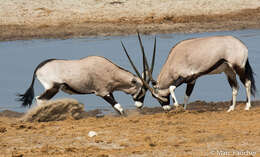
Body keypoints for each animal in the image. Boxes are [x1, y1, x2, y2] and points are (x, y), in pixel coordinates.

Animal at [17, 53, 155, 114]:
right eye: (142, 90)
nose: (140, 106)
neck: (110, 71)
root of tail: (39, 67)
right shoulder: (102, 92)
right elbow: (119, 107)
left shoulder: (109, 91)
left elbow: (116, 107)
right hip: (53, 88)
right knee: (40, 99)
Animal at [123, 35, 256, 112]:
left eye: (155, 97)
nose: (166, 109)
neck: (174, 59)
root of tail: (243, 46)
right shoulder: (192, 80)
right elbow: (187, 95)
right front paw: (184, 109)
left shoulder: (185, 77)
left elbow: (171, 87)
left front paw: (177, 106)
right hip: (229, 71)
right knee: (235, 87)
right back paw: (231, 108)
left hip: (239, 67)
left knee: (247, 83)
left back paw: (247, 106)